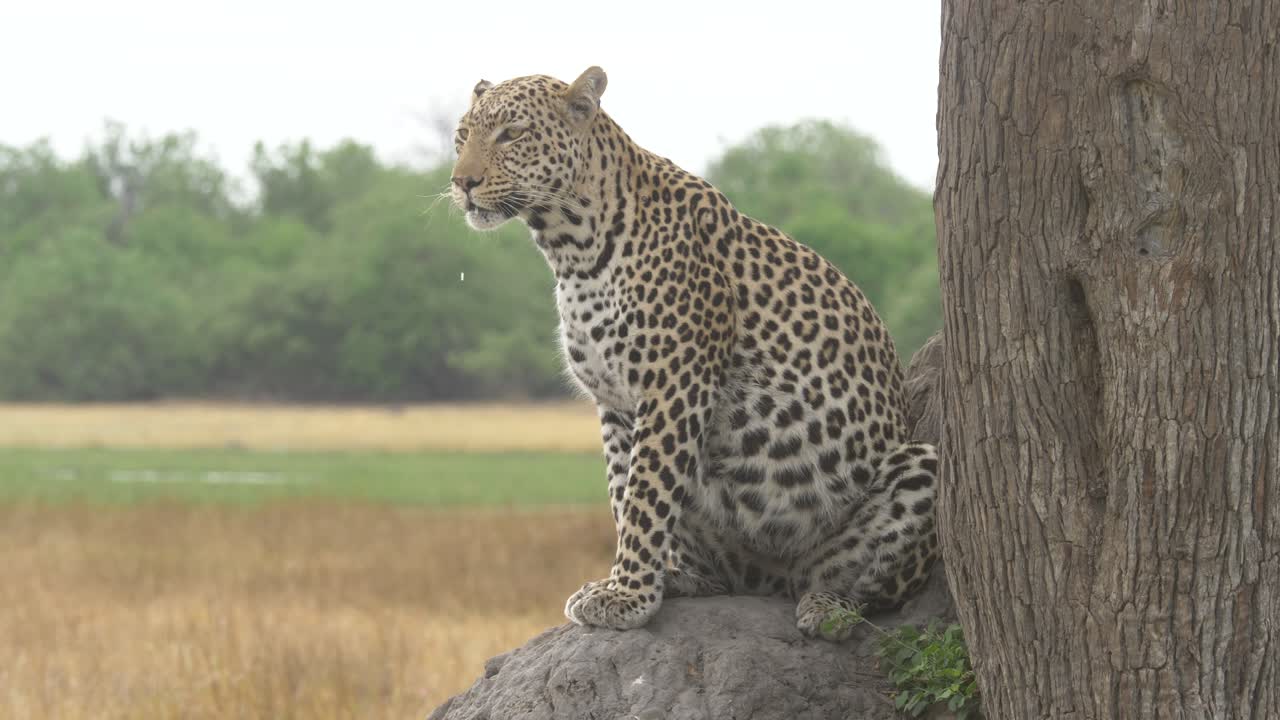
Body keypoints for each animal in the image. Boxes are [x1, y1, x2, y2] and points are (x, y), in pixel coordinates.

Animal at [449, 66, 938, 641]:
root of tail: (772, 578)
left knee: (874, 589)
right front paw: (631, 584)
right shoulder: (616, 403)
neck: (570, 247)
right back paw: (689, 579)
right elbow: (624, 490)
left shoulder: (673, 385)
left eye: (512, 135)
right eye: (462, 137)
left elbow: (646, 495)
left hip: (923, 467)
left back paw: (829, 607)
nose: (462, 182)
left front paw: (628, 596)